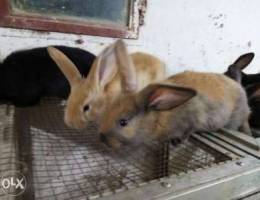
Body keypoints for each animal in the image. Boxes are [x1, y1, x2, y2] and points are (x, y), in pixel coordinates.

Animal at [98, 71, 251, 149]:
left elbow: (188, 132)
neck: (161, 115)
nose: (101, 138)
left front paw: (177, 142)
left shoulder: (192, 120)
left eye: (123, 122)